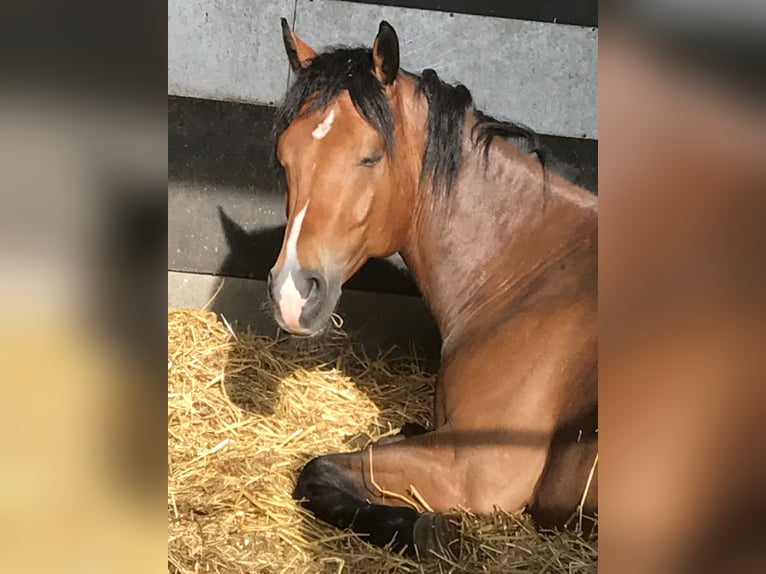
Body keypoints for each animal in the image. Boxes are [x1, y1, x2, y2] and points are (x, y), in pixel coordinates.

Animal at [267, 19, 598, 557]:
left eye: (371, 157)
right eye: (284, 158)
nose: (292, 294)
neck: (536, 273)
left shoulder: (477, 469)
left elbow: (317, 470)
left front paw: (423, 529)